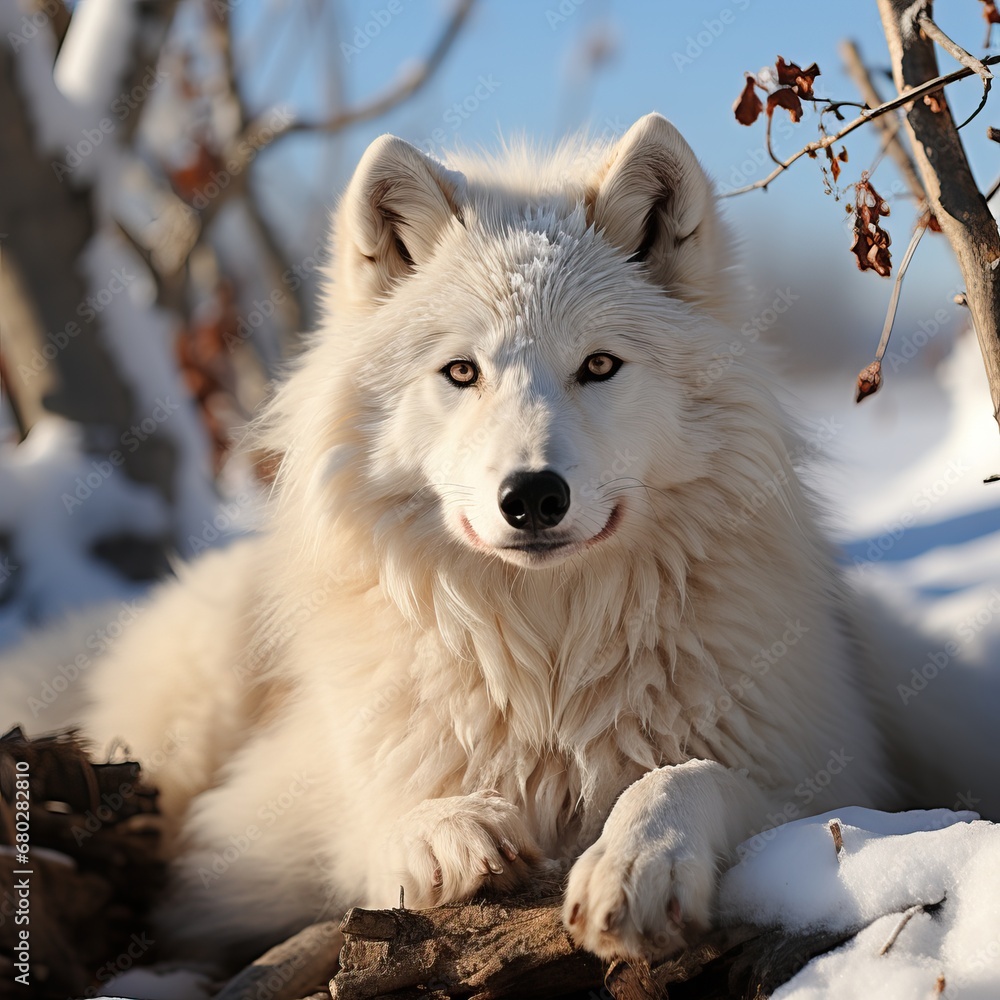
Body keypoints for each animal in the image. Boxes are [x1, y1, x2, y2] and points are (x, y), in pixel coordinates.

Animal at [9, 113, 892, 968]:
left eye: (599, 366)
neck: (549, 664)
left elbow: (689, 775)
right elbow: (372, 830)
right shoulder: (252, 840)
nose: (532, 496)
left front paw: (638, 862)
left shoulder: (829, 780)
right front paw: (445, 832)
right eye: (462, 372)